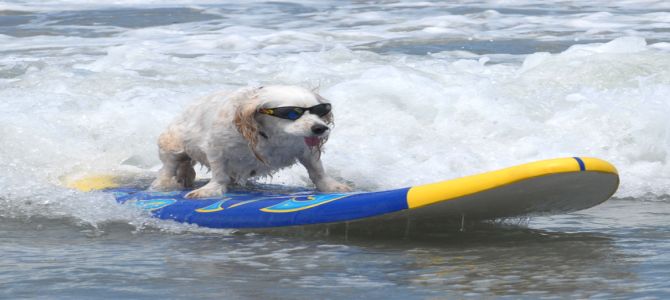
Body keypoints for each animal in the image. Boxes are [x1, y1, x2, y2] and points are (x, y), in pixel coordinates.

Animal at [151, 85, 352, 198]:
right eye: (292, 113)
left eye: (320, 110)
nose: (320, 128)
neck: (271, 135)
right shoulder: (215, 147)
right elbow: (219, 171)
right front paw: (212, 190)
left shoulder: (305, 149)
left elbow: (317, 170)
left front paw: (330, 186)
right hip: (171, 143)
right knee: (168, 167)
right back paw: (163, 185)